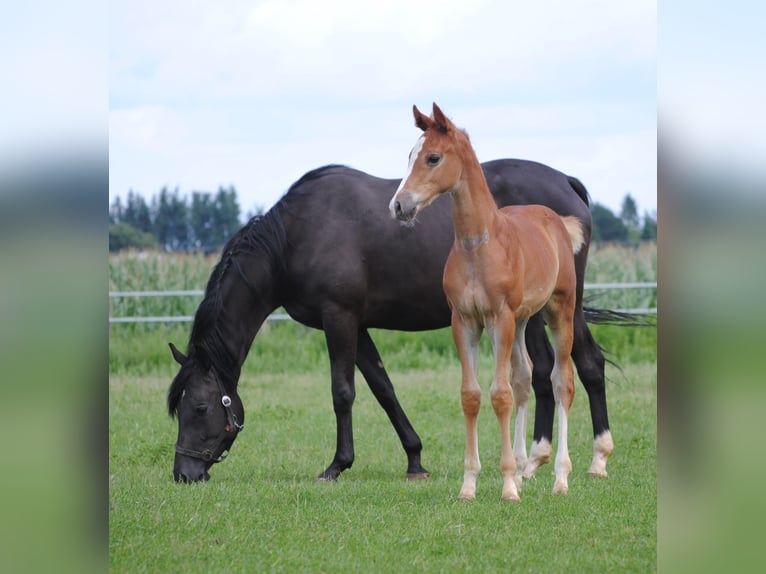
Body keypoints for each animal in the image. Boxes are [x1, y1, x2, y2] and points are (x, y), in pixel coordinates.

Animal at [167, 162, 615, 485]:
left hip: (555, 309)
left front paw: (337, 465)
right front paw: (415, 459)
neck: (295, 237)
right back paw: (540, 462)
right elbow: (383, 388)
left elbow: (342, 392)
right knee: (548, 374)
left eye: (200, 407)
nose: (184, 474)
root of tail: (566, 184)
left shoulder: (339, 317)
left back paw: (590, 458)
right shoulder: (357, 324)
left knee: (580, 367)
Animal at [391, 103, 585, 500]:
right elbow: (472, 395)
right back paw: (527, 468)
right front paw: (470, 484)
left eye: (433, 157)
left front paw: (508, 484)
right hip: (525, 319)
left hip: (559, 311)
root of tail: (556, 219)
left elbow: (500, 394)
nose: (399, 205)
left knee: (561, 382)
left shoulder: (499, 319)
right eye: (408, 156)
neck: (477, 247)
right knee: (525, 377)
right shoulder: (464, 321)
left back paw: (559, 477)